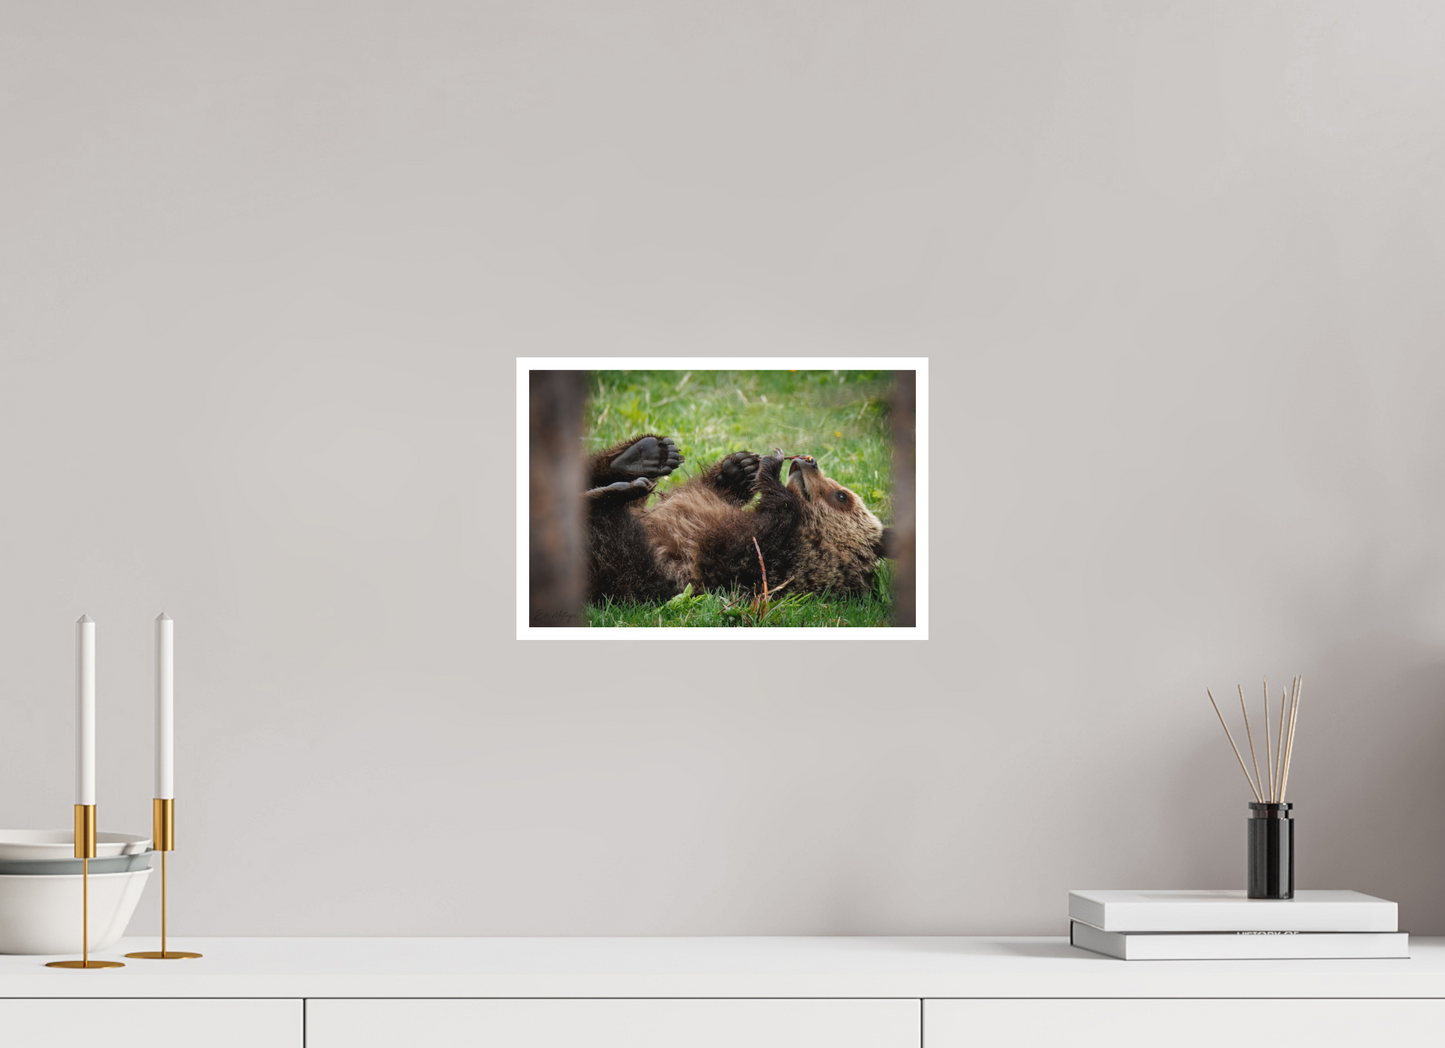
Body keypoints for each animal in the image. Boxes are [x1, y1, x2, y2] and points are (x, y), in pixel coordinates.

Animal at [582, 433, 894, 604]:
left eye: (842, 496)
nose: (809, 461)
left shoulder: (749, 560)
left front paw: (770, 467)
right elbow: (705, 493)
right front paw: (739, 469)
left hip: (623, 563)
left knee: (605, 525)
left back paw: (619, 489)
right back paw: (644, 456)